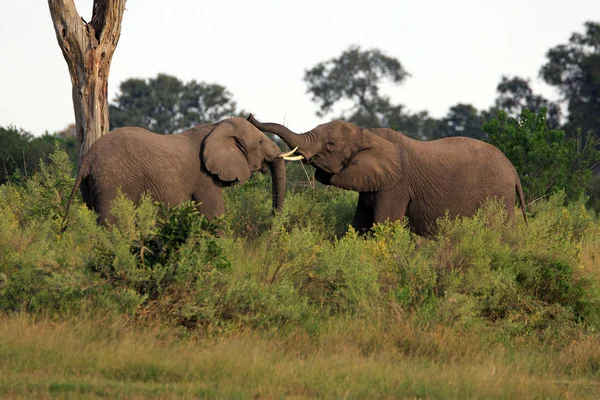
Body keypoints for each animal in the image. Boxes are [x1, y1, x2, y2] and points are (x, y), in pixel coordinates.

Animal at [62, 117, 292, 227]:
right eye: (260, 142)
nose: (271, 222)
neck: (217, 126)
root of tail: (87, 159)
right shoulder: (204, 176)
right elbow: (212, 215)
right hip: (112, 182)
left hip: (91, 186)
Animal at [247, 114, 524, 236]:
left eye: (331, 144)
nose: (250, 116)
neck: (368, 134)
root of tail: (514, 171)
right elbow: (359, 225)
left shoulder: (396, 185)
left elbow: (383, 224)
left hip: (498, 197)